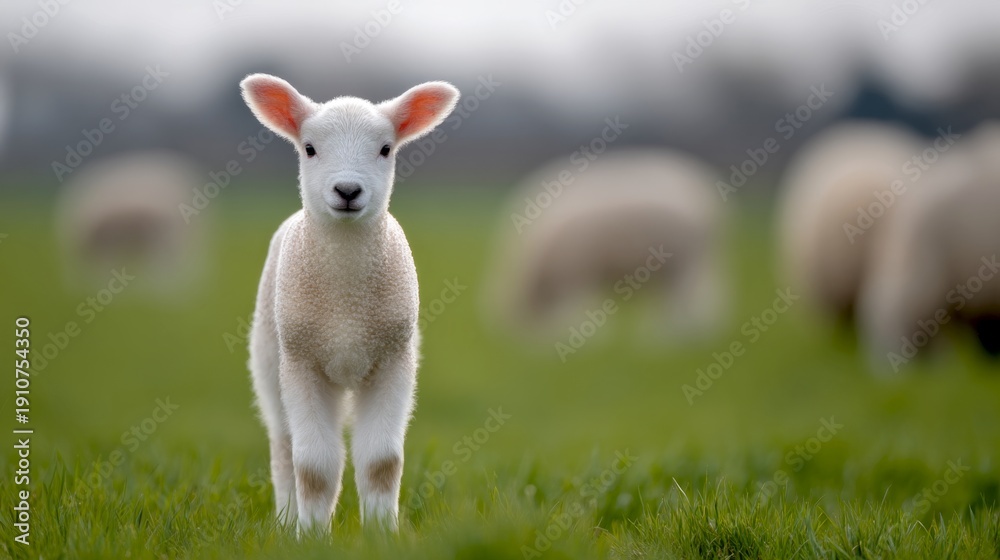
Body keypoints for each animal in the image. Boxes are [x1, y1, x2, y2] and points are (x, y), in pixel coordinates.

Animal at [241, 74, 459, 533]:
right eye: (309, 148)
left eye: (386, 149)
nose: (347, 190)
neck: (347, 309)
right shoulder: (302, 362)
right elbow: (314, 468)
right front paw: (310, 535)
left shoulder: (393, 360)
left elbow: (381, 462)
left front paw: (381, 533)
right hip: (269, 362)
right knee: (282, 446)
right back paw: (285, 521)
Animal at [482, 148, 726, 343]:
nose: (530, 346)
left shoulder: (577, 273)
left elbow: (578, 310)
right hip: (682, 266)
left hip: (684, 262)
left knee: (686, 304)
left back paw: (672, 340)